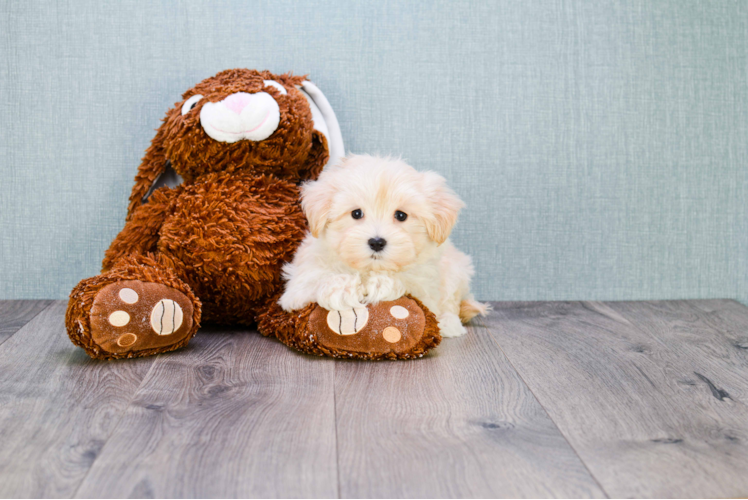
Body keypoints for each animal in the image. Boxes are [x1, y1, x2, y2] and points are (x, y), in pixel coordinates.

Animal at [280, 154, 486, 338]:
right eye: (356, 213)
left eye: (401, 215)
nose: (377, 242)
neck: (368, 269)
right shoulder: (299, 282)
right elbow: (314, 278)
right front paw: (341, 289)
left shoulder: (426, 283)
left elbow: (407, 279)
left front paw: (381, 283)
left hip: (456, 270)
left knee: (451, 302)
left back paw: (449, 324)